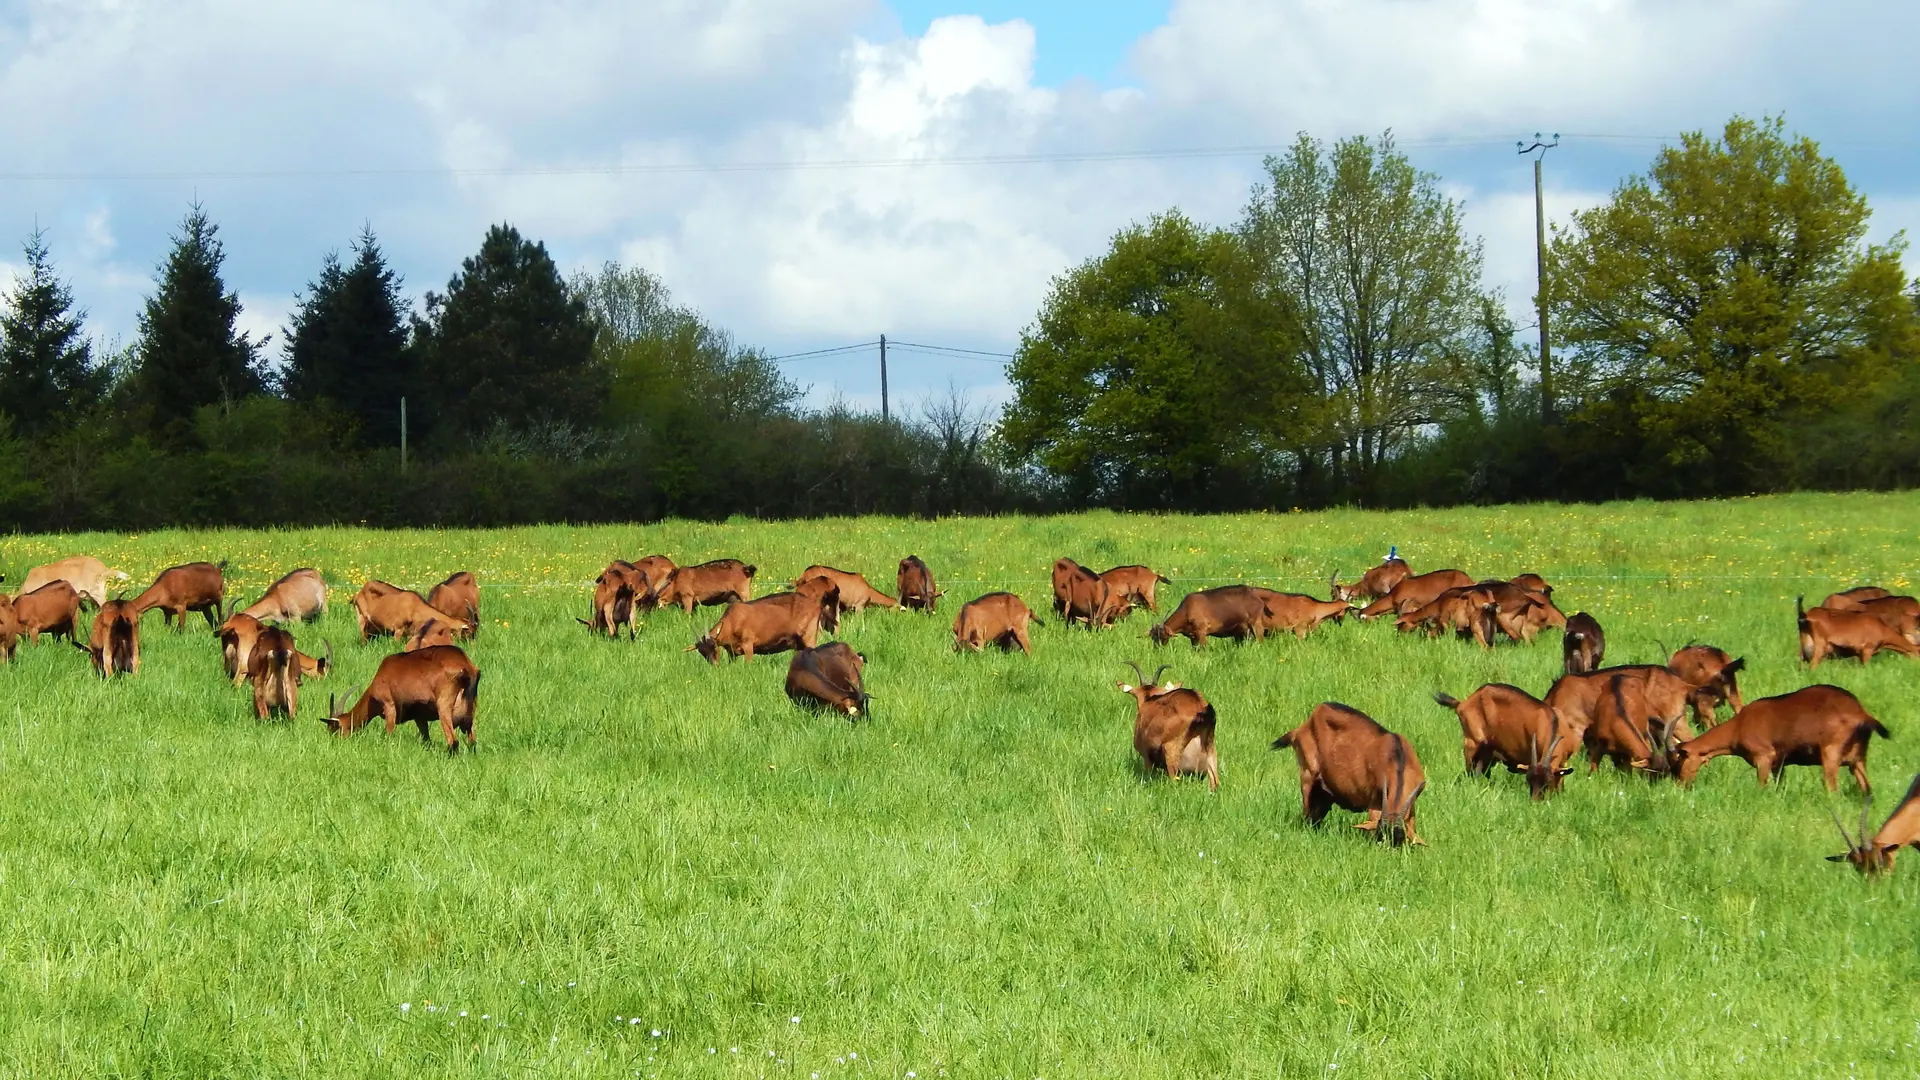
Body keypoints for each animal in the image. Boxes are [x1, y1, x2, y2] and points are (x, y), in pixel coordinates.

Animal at [318, 641, 476, 753]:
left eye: (334, 729)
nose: (333, 743)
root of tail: (465, 665)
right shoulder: (419, 716)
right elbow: (426, 739)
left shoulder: (389, 706)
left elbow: (388, 734)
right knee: (472, 741)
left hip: (444, 706)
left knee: (453, 742)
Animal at [695, 584, 837, 661]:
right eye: (702, 653)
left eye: (713, 647)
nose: (714, 665)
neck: (733, 620)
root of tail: (817, 606)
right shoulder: (732, 652)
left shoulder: (748, 645)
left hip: (809, 636)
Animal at [1274, 699, 1428, 841]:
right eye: (1380, 836)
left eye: (1400, 839)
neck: (1397, 758)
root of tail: (1300, 728)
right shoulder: (1375, 800)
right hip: (1307, 774)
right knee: (1306, 813)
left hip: (1324, 791)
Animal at [1428, 684, 1574, 795]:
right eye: (1528, 781)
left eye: (1547, 782)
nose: (1535, 802)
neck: (1551, 723)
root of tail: (1463, 703)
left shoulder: (1562, 763)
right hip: (1472, 743)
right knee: (1470, 772)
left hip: (1487, 753)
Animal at [1674, 680, 1881, 791]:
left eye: (1680, 761)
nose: (1680, 786)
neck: (1737, 728)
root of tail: (1860, 713)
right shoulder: (1778, 763)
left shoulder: (1764, 756)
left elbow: (1761, 786)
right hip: (1857, 757)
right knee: (1867, 788)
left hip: (1831, 752)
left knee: (1832, 788)